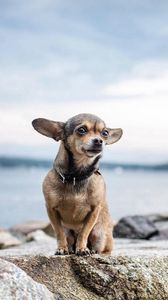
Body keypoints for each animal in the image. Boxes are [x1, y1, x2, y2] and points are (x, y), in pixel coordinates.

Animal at [32, 113, 122, 255]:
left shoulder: (94, 211)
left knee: (103, 249)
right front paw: (61, 248)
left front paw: (82, 248)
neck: (76, 176)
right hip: (70, 234)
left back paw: (92, 251)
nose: (99, 141)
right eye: (82, 130)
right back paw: (70, 249)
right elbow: (59, 232)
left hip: (99, 235)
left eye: (105, 133)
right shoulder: (51, 210)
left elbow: (84, 233)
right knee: (68, 239)